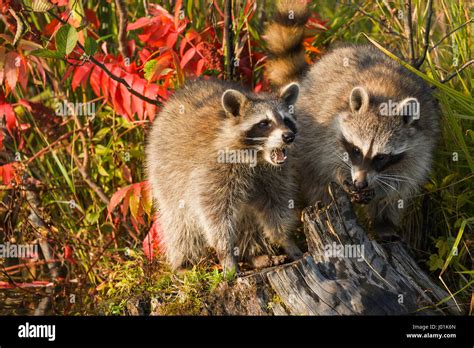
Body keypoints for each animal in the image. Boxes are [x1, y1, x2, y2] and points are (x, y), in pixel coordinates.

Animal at [144, 78, 302, 272]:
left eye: (286, 120)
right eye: (264, 123)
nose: (288, 136)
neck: (256, 156)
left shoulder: (273, 176)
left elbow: (276, 206)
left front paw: (285, 239)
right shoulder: (212, 171)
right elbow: (216, 216)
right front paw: (226, 253)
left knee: (247, 220)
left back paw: (254, 255)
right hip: (164, 173)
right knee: (180, 224)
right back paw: (183, 262)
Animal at [266, 0, 440, 238]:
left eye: (381, 157)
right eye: (356, 150)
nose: (360, 182)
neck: (387, 92)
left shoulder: (420, 140)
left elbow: (403, 179)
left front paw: (379, 193)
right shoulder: (326, 125)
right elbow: (326, 161)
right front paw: (343, 179)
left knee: (394, 201)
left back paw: (384, 222)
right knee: (315, 179)